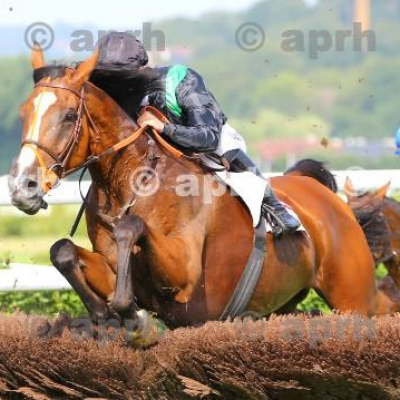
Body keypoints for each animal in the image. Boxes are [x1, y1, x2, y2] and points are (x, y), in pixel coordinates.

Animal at [7, 47, 400, 340]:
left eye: (68, 115)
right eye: (24, 113)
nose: (22, 186)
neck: (129, 181)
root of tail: (321, 191)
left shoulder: (185, 276)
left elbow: (132, 228)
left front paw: (125, 310)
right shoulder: (112, 265)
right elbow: (62, 250)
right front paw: (102, 311)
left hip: (353, 295)